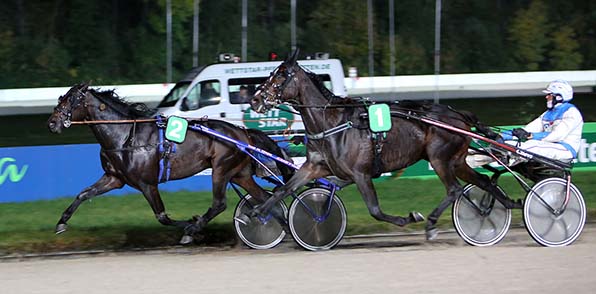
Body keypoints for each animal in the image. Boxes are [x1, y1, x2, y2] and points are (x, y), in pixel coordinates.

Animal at [47, 82, 294, 243]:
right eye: (61, 97)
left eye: (70, 100)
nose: (51, 123)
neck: (125, 135)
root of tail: (243, 133)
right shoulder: (114, 178)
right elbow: (84, 194)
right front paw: (61, 222)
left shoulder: (147, 184)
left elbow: (163, 217)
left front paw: (191, 226)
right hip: (239, 173)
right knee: (265, 200)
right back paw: (281, 227)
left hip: (221, 169)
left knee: (219, 204)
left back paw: (194, 229)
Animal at [241, 50, 520, 239]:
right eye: (270, 73)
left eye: (280, 75)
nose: (255, 100)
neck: (332, 123)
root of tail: (458, 114)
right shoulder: (315, 167)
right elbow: (283, 189)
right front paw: (254, 212)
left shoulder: (361, 173)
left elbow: (374, 209)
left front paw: (409, 217)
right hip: (457, 159)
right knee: (481, 181)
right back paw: (504, 206)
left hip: (439, 157)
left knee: (454, 189)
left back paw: (431, 223)